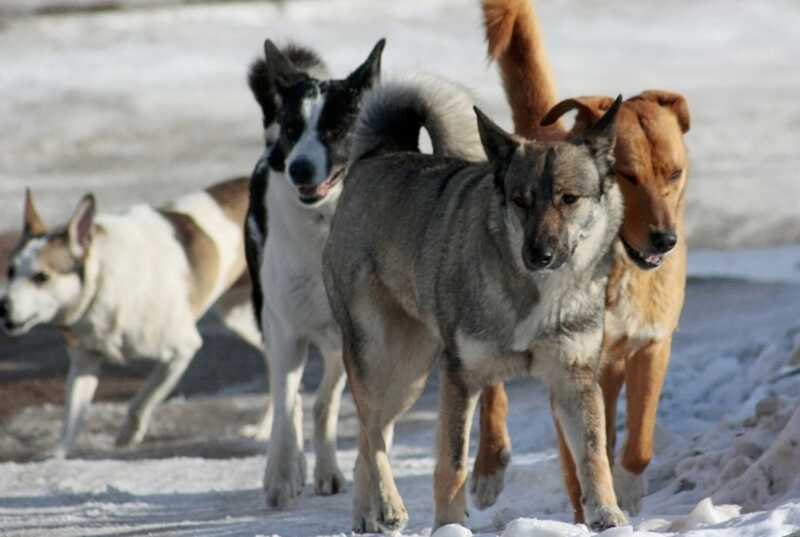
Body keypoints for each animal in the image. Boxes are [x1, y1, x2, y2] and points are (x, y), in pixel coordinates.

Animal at [245, 37, 386, 506]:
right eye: (293, 128)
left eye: (337, 129)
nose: (299, 168)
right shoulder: (284, 331)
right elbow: (287, 404)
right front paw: (281, 474)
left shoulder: (351, 339)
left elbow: (326, 405)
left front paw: (332, 471)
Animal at [322, 76, 628, 532]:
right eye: (520, 200)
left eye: (569, 198)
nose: (539, 254)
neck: (533, 295)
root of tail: (380, 154)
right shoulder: (460, 378)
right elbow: (452, 464)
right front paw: (449, 527)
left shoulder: (575, 378)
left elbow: (593, 456)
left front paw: (608, 517)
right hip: (379, 358)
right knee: (372, 431)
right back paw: (389, 506)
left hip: (409, 377)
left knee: (367, 434)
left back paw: (367, 515)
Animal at [472, 0, 692, 520]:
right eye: (628, 175)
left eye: (674, 173)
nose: (665, 240)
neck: (616, 267)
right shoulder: (568, 365)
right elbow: (578, 464)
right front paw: (586, 514)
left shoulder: (651, 345)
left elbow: (638, 441)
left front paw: (626, 491)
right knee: (491, 385)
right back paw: (489, 464)